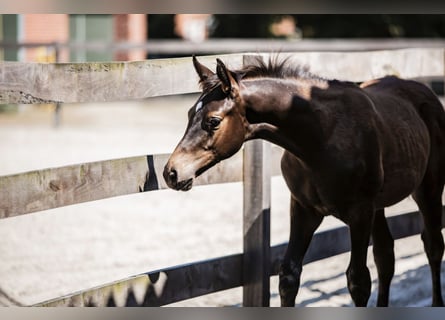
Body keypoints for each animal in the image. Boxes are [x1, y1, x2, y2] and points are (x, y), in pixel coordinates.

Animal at [164, 55, 444, 308]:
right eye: (189, 114)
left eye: (213, 121)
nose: (171, 172)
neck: (319, 140)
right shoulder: (304, 209)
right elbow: (289, 276)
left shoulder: (360, 213)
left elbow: (358, 281)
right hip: (379, 206)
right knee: (386, 256)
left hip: (427, 190)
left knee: (432, 245)